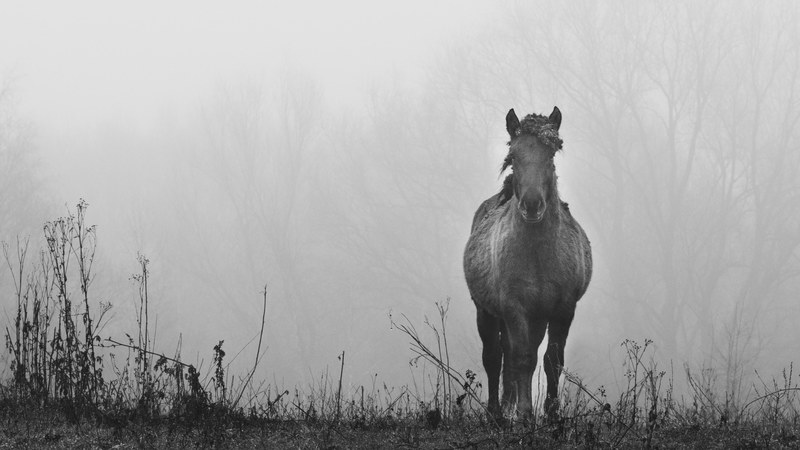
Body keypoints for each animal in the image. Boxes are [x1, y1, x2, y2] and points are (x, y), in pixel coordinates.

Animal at [463, 107, 592, 420]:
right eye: (514, 155)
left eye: (551, 153)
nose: (532, 205)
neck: (537, 254)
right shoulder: (514, 308)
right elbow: (520, 358)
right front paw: (524, 414)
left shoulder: (562, 311)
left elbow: (552, 361)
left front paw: (552, 415)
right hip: (486, 312)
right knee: (495, 357)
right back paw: (497, 414)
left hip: (538, 318)